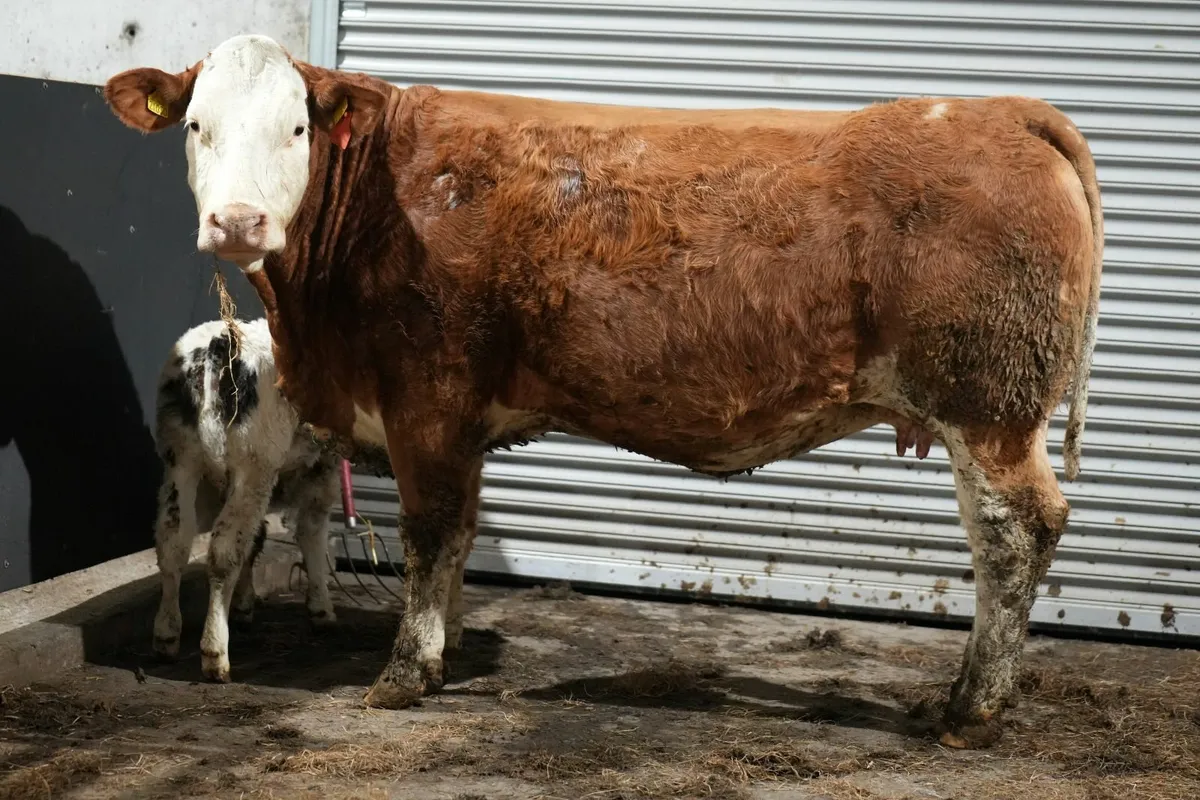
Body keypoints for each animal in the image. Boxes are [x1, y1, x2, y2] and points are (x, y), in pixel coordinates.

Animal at [152, 318, 340, 680]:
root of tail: (217, 345)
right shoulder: (322, 467)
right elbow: (312, 532)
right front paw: (322, 610)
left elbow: (255, 538)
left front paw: (242, 604)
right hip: (254, 463)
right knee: (223, 551)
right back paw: (215, 653)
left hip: (179, 459)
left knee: (173, 542)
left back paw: (166, 635)